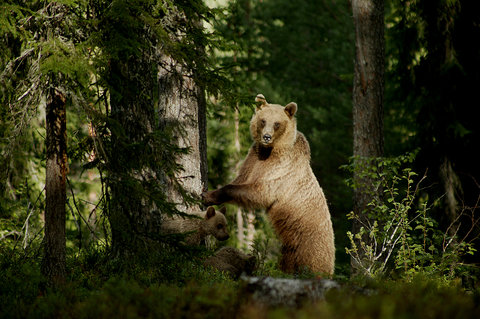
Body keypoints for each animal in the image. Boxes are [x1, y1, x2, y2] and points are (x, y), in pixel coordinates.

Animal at [202, 94, 334, 276]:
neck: (269, 151)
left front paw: (208, 196)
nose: (266, 137)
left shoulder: (280, 170)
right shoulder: (253, 159)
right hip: (290, 245)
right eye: (263, 120)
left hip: (309, 240)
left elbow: (261, 192)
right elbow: (240, 179)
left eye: (277, 123)